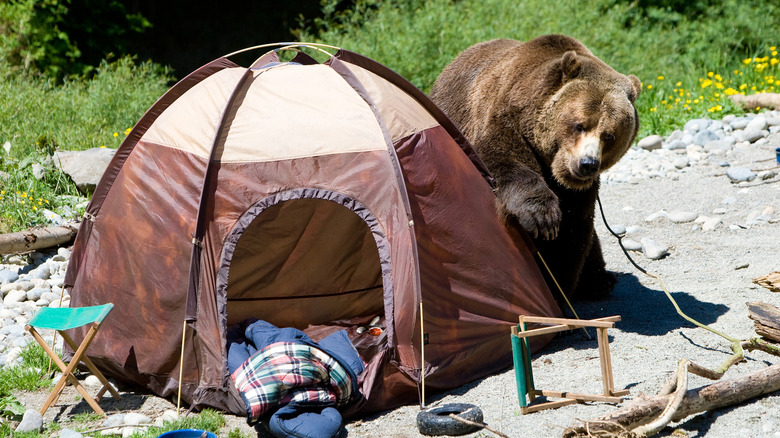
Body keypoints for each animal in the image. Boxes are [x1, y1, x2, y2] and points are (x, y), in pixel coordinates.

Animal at [430, 34, 641, 301]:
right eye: (580, 125)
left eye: (610, 135)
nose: (587, 164)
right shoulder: (506, 121)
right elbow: (502, 161)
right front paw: (542, 219)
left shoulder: (579, 190)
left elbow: (574, 229)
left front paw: (558, 284)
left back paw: (600, 281)